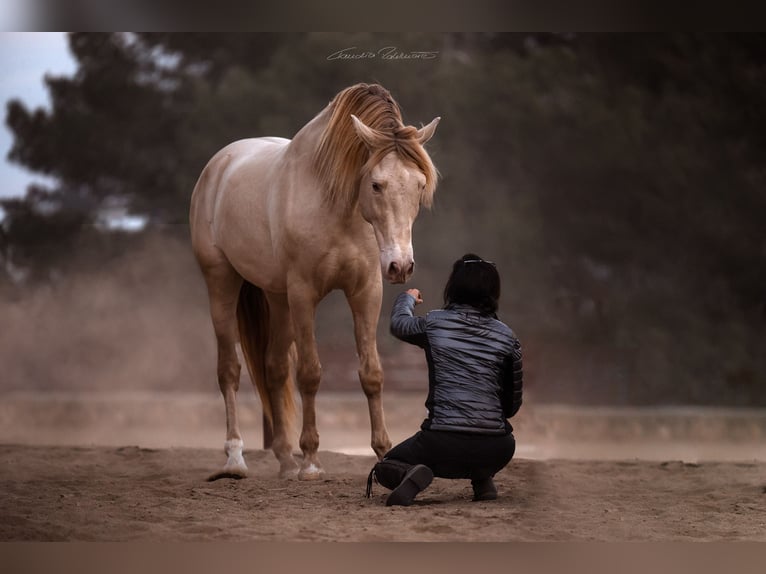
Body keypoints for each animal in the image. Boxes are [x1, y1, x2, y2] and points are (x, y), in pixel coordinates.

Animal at [190, 83, 444, 482]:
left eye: (419, 185)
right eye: (376, 184)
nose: (400, 266)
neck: (337, 207)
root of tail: (217, 166)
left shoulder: (365, 292)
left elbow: (372, 374)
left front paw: (383, 453)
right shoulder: (304, 295)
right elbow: (310, 373)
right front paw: (311, 460)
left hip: (276, 298)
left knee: (274, 368)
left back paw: (284, 460)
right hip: (223, 284)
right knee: (229, 370)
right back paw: (236, 459)